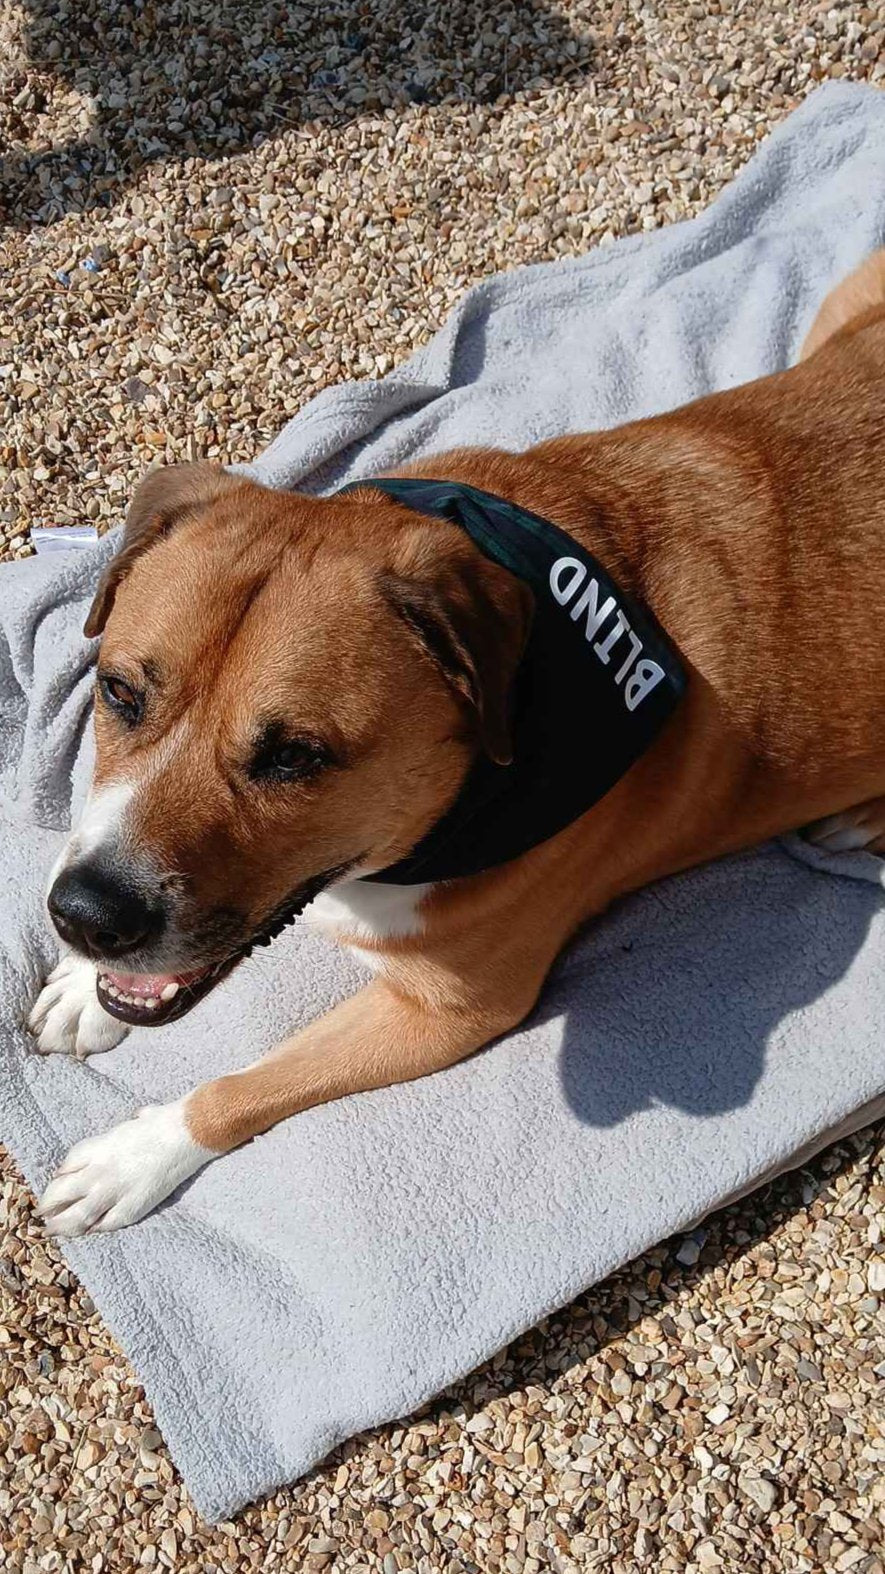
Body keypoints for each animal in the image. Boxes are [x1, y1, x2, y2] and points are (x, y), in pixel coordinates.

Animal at [31, 248, 881, 1227]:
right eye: (118, 692)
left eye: (295, 758)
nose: (85, 916)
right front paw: (82, 992)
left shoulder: (452, 1013)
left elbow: (248, 1086)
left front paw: (136, 1156)